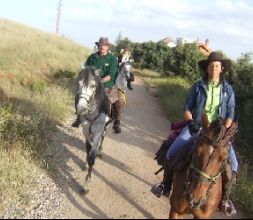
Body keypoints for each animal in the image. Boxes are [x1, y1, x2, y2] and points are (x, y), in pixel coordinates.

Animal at [75, 65, 110, 194]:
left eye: (93, 85)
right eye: (79, 83)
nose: (81, 108)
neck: (92, 113)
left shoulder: (97, 133)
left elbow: (92, 157)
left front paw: (86, 184)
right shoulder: (86, 132)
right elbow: (87, 151)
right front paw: (85, 165)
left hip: (105, 129)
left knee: (103, 137)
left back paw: (100, 151)